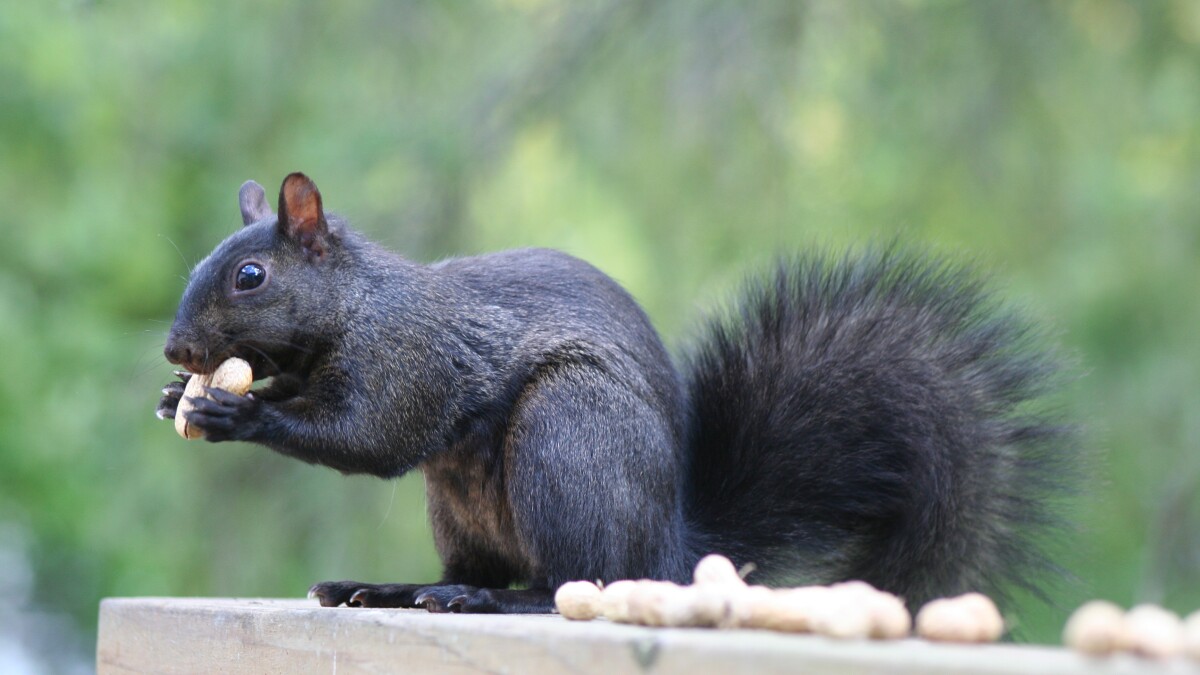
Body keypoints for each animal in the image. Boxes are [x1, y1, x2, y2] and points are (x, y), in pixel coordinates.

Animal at [157, 170, 1070, 612]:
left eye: (249, 276)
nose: (175, 346)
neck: (356, 302)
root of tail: (667, 547)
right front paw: (178, 395)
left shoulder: (408, 357)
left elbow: (369, 435)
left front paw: (234, 408)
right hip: (461, 505)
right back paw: (391, 587)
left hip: (570, 437)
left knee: (573, 583)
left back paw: (479, 598)